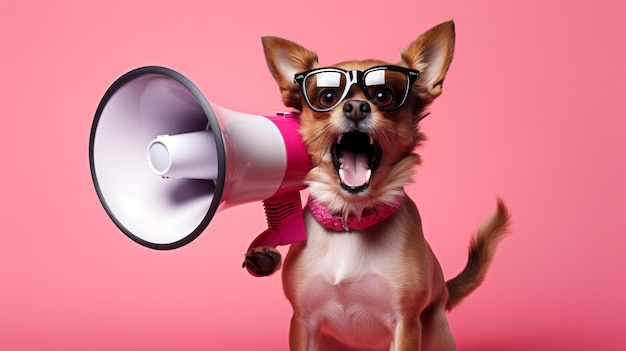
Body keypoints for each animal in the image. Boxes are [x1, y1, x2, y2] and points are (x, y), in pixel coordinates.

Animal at [241, 20, 510, 350]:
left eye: (383, 95)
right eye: (327, 97)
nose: (357, 107)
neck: (352, 220)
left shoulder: (406, 323)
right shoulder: (302, 322)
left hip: (434, 330)